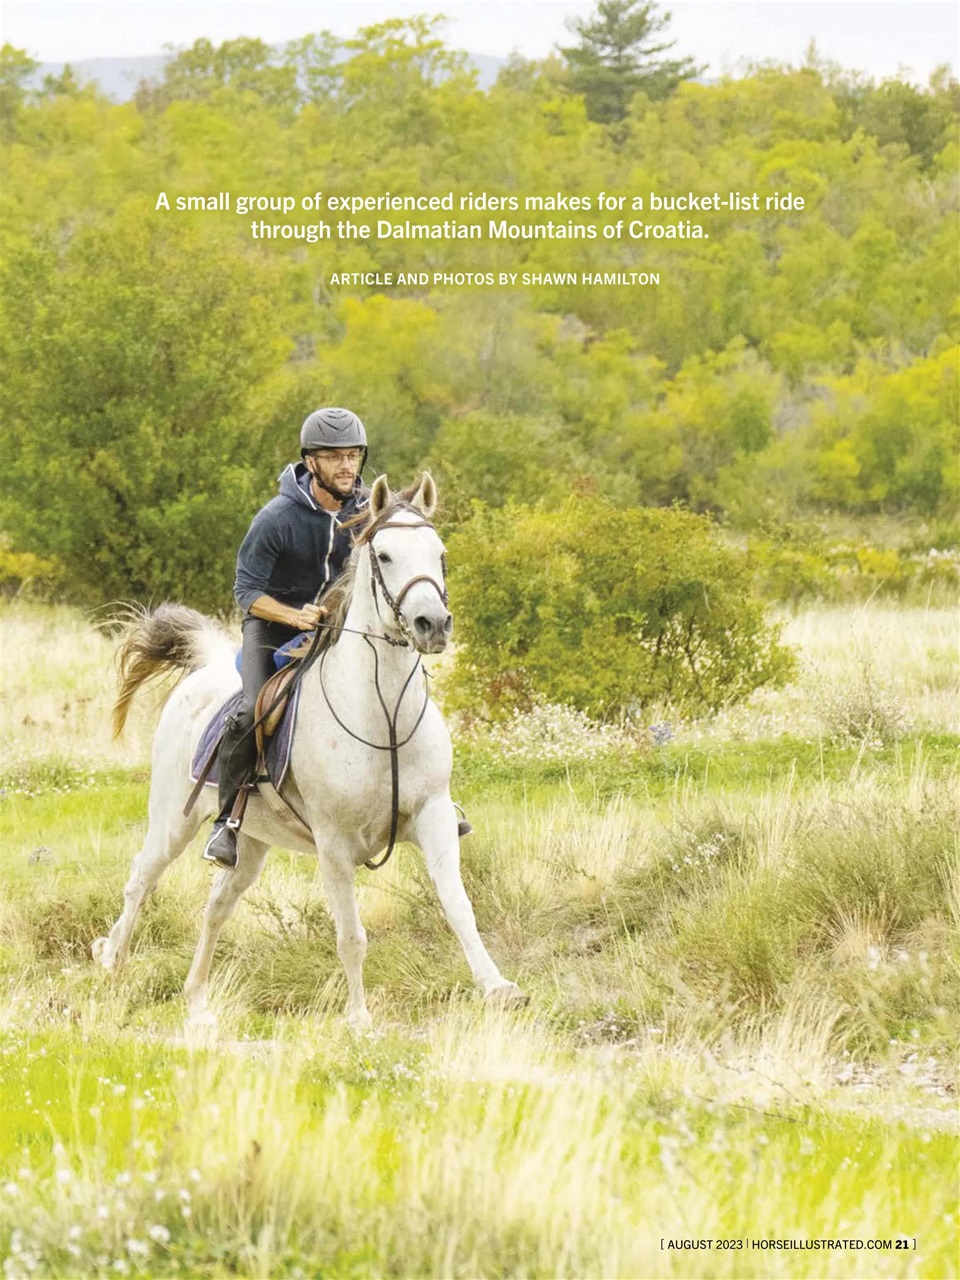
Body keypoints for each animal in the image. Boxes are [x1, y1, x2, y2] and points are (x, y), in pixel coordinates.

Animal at [92, 473, 523, 1029]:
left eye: (440, 553)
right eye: (384, 555)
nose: (432, 624)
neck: (383, 714)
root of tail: (207, 668)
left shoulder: (432, 816)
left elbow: (458, 904)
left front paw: (498, 988)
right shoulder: (334, 842)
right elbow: (351, 935)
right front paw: (359, 1018)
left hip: (251, 843)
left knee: (216, 907)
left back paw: (198, 1000)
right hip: (173, 821)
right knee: (140, 881)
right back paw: (112, 960)